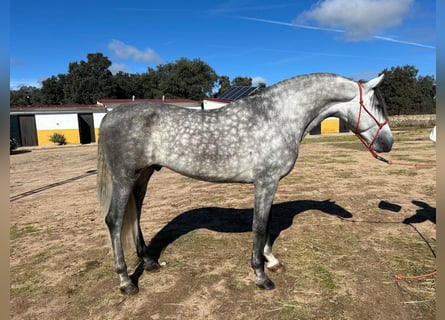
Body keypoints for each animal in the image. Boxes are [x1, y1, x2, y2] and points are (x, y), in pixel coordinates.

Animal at [97, 73, 392, 296]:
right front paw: (261, 276)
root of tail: (109, 117)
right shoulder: (266, 182)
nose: (388, 143)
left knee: (135, 215)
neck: (278, 117)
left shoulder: (270, 184)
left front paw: (272, 261)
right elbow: (260, 226)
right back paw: (126, 282)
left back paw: (149, 262)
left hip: (142, 176)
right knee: (114, 221)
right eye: (377, 106)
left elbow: (268, 224)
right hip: (124, 178)